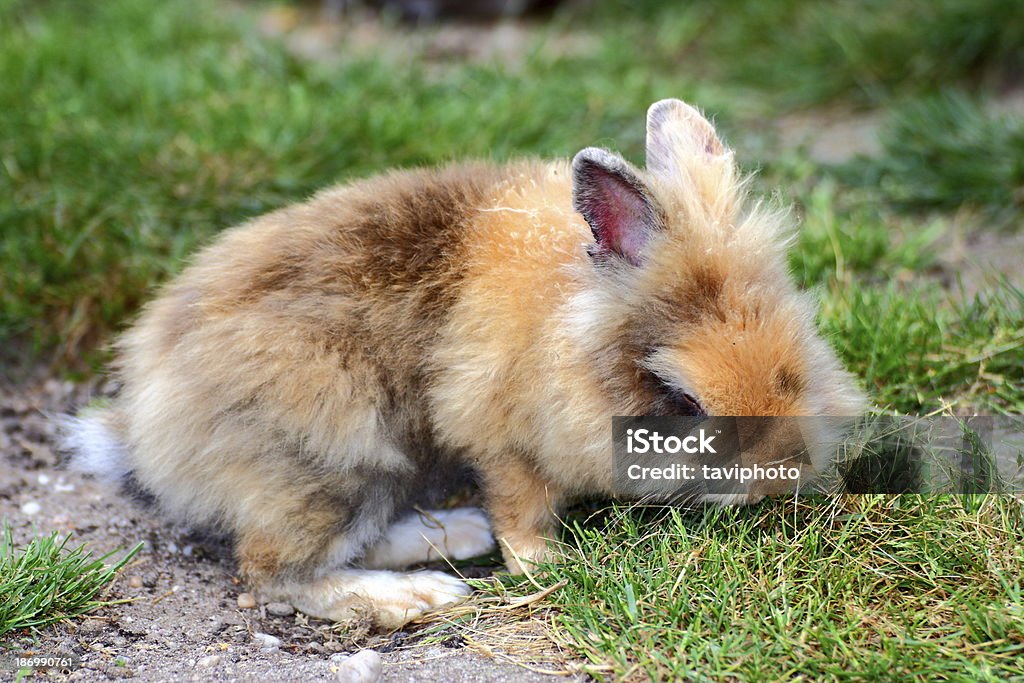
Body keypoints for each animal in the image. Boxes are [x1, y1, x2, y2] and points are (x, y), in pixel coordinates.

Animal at [59, 100, 868, 630]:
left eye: (799, 358)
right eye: (681, 396)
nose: (784, 475)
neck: (577, 340)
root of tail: (148, 430)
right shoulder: (501, 436)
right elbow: (520, 506)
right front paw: (548, 566)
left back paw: (453, 536)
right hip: (334, 465)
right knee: (271, 573)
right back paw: (416, 597)